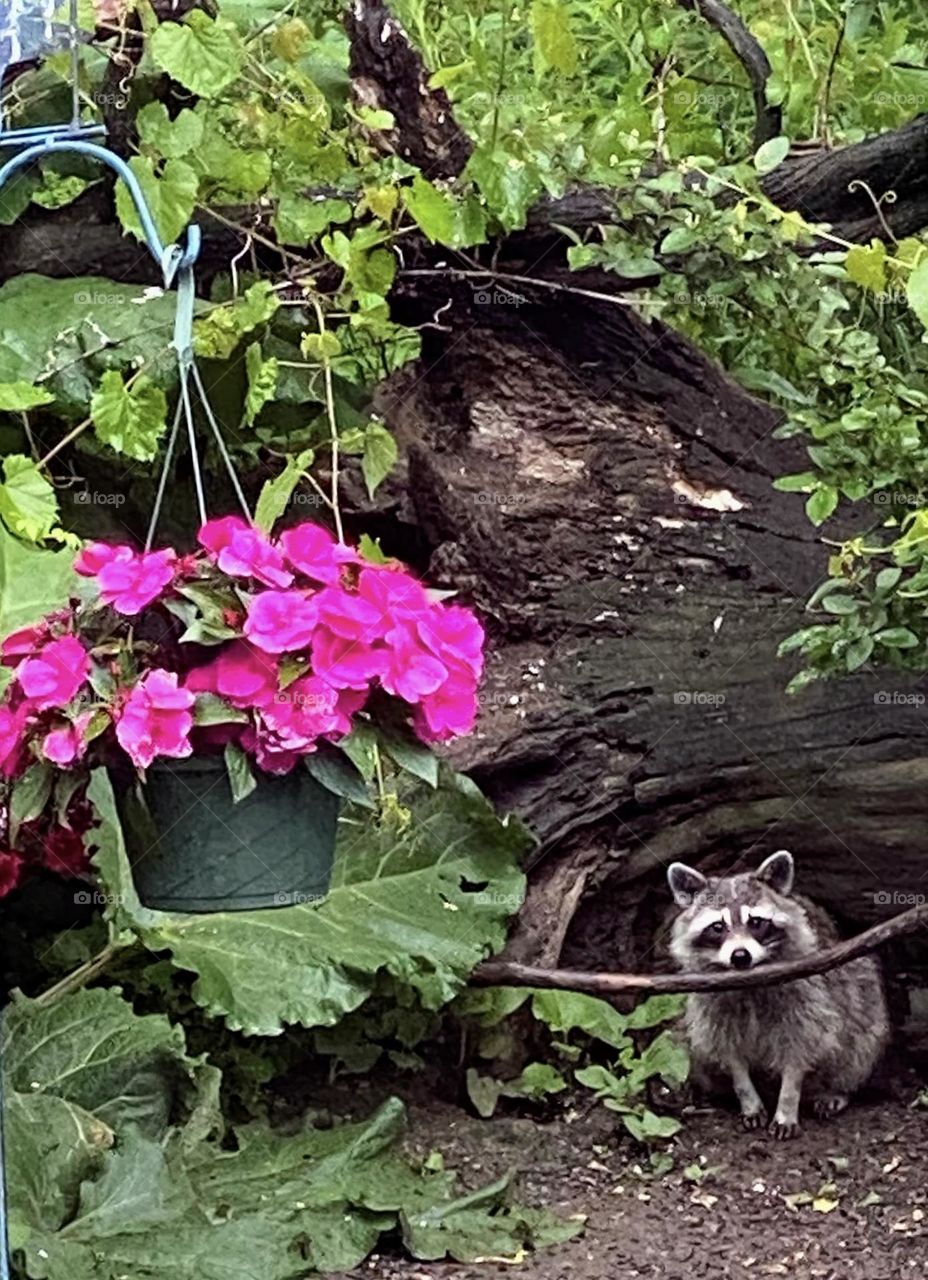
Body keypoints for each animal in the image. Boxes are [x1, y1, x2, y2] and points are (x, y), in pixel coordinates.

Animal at [666, 850, 889, 1139]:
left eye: (756, 922)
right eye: (717, 927)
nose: (740, 956)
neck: (748, 982)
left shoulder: (808, 995)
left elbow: (800, 1049)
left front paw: (787, 1104)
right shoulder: (711, 1007)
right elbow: (729, 1053)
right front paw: (747, 1097)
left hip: (861, 986)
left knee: (860, 1032)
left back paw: (838, 1088)